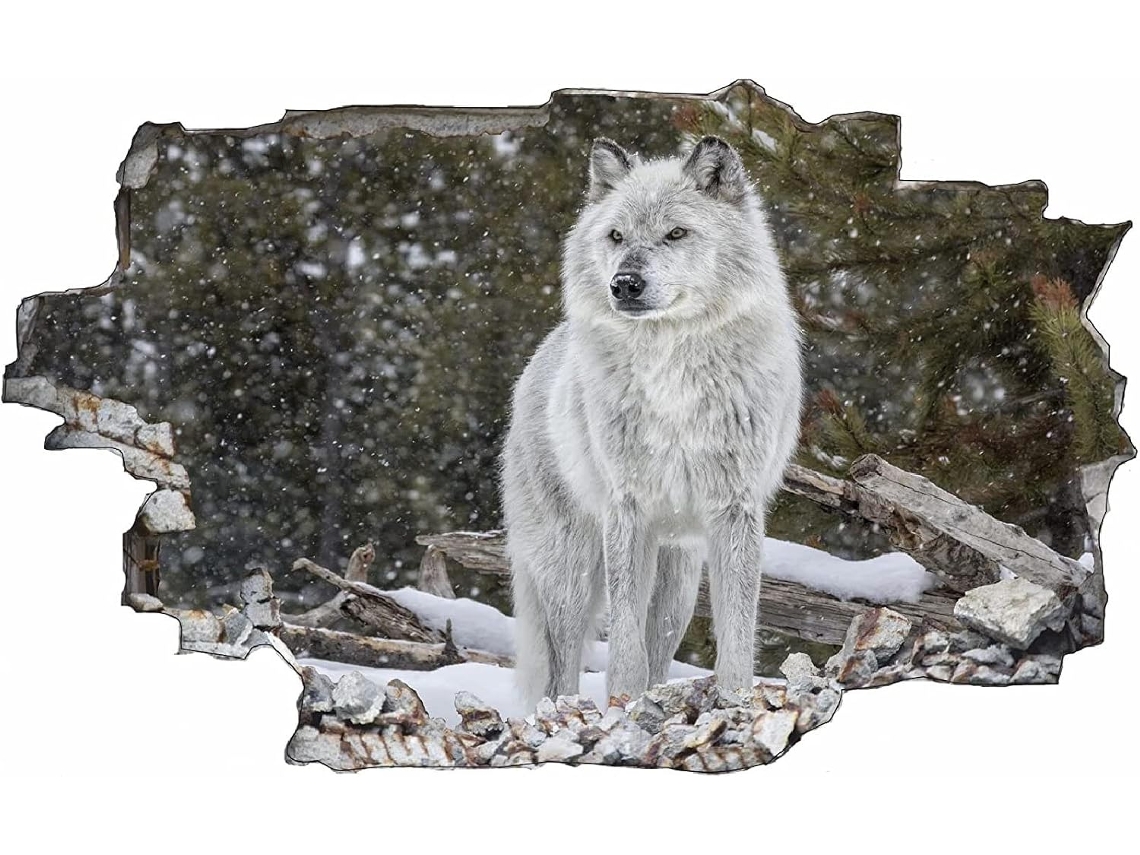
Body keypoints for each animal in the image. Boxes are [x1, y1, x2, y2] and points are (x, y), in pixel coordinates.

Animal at [500, 135, 803, 708]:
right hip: (571, 568)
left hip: (679, 578)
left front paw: (734, 698)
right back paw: (564, 710)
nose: (625, 283)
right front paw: (623, 706)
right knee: (561, 664)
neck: (673, 373)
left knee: (660, 646)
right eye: (616, 235)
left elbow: (737, 632)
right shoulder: (628, 510)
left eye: (676, 233)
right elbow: (624, 645)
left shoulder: (734, 510)